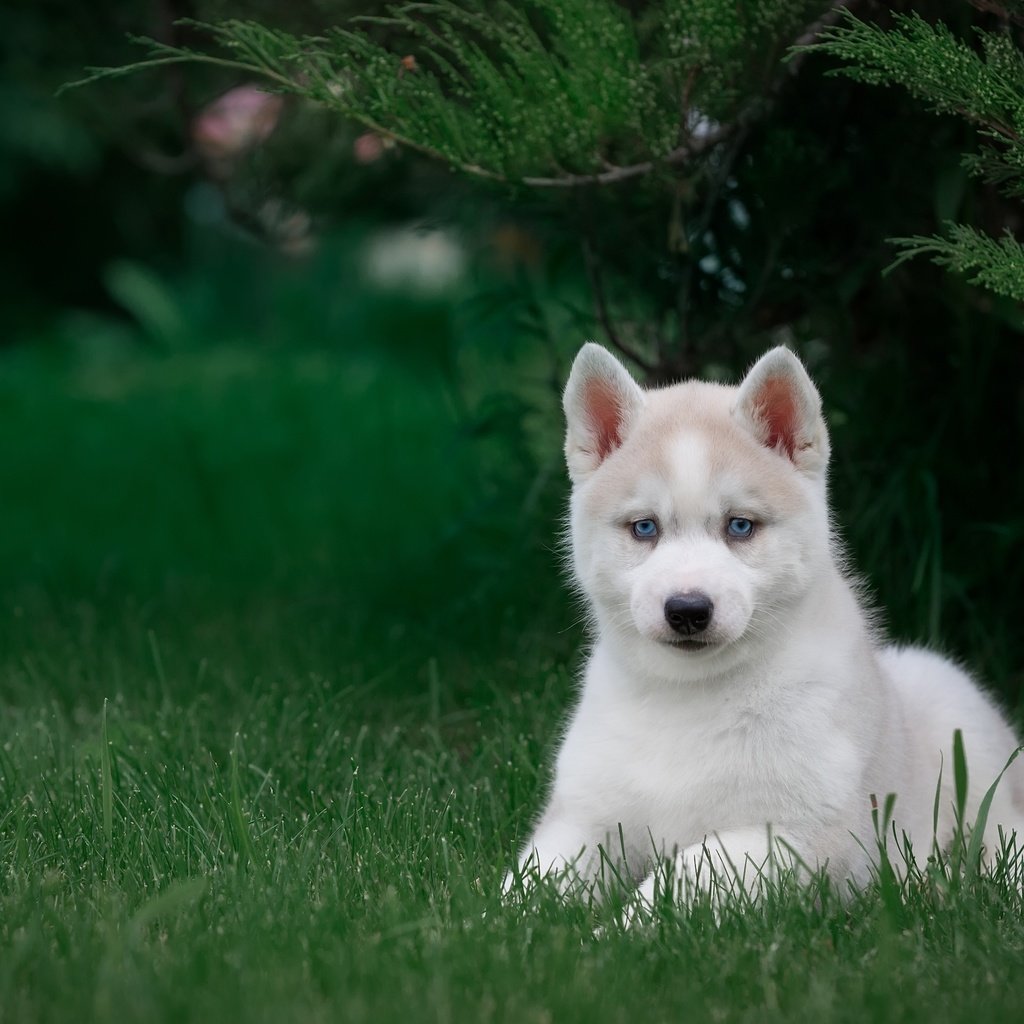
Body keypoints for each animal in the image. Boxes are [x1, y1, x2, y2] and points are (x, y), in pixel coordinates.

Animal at [516, 344, 1019, 905]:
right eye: (644, 527)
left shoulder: (796, 836)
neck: (688, 697)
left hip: (956, 717)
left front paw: (624, 923)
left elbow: (683, 875)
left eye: (740, 526)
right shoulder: (583, 819)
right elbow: (524, 883)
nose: (687, 609)